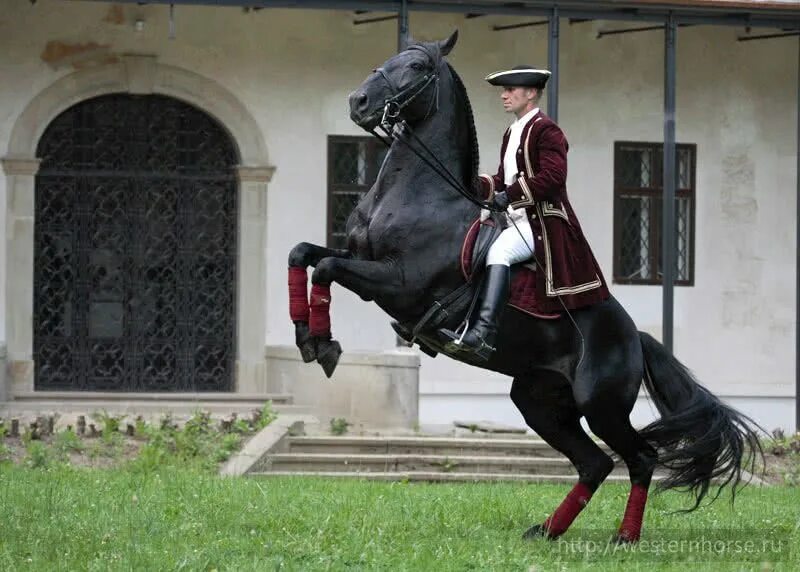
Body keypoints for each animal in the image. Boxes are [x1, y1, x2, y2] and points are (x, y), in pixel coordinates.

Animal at [288, 32, 764, 544]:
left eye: (415, 67)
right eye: (390, 58)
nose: (358, 102)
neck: (418, 193)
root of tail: (635, 336)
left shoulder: (399, 283)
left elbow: (326, 268)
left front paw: (324, 345)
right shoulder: (363, 262)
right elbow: (303, 255)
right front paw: (307, 337)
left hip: (603, 407)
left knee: (639, 458)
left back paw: (624, 537)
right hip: (539, 402)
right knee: (594, 463)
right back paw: (548, 530)